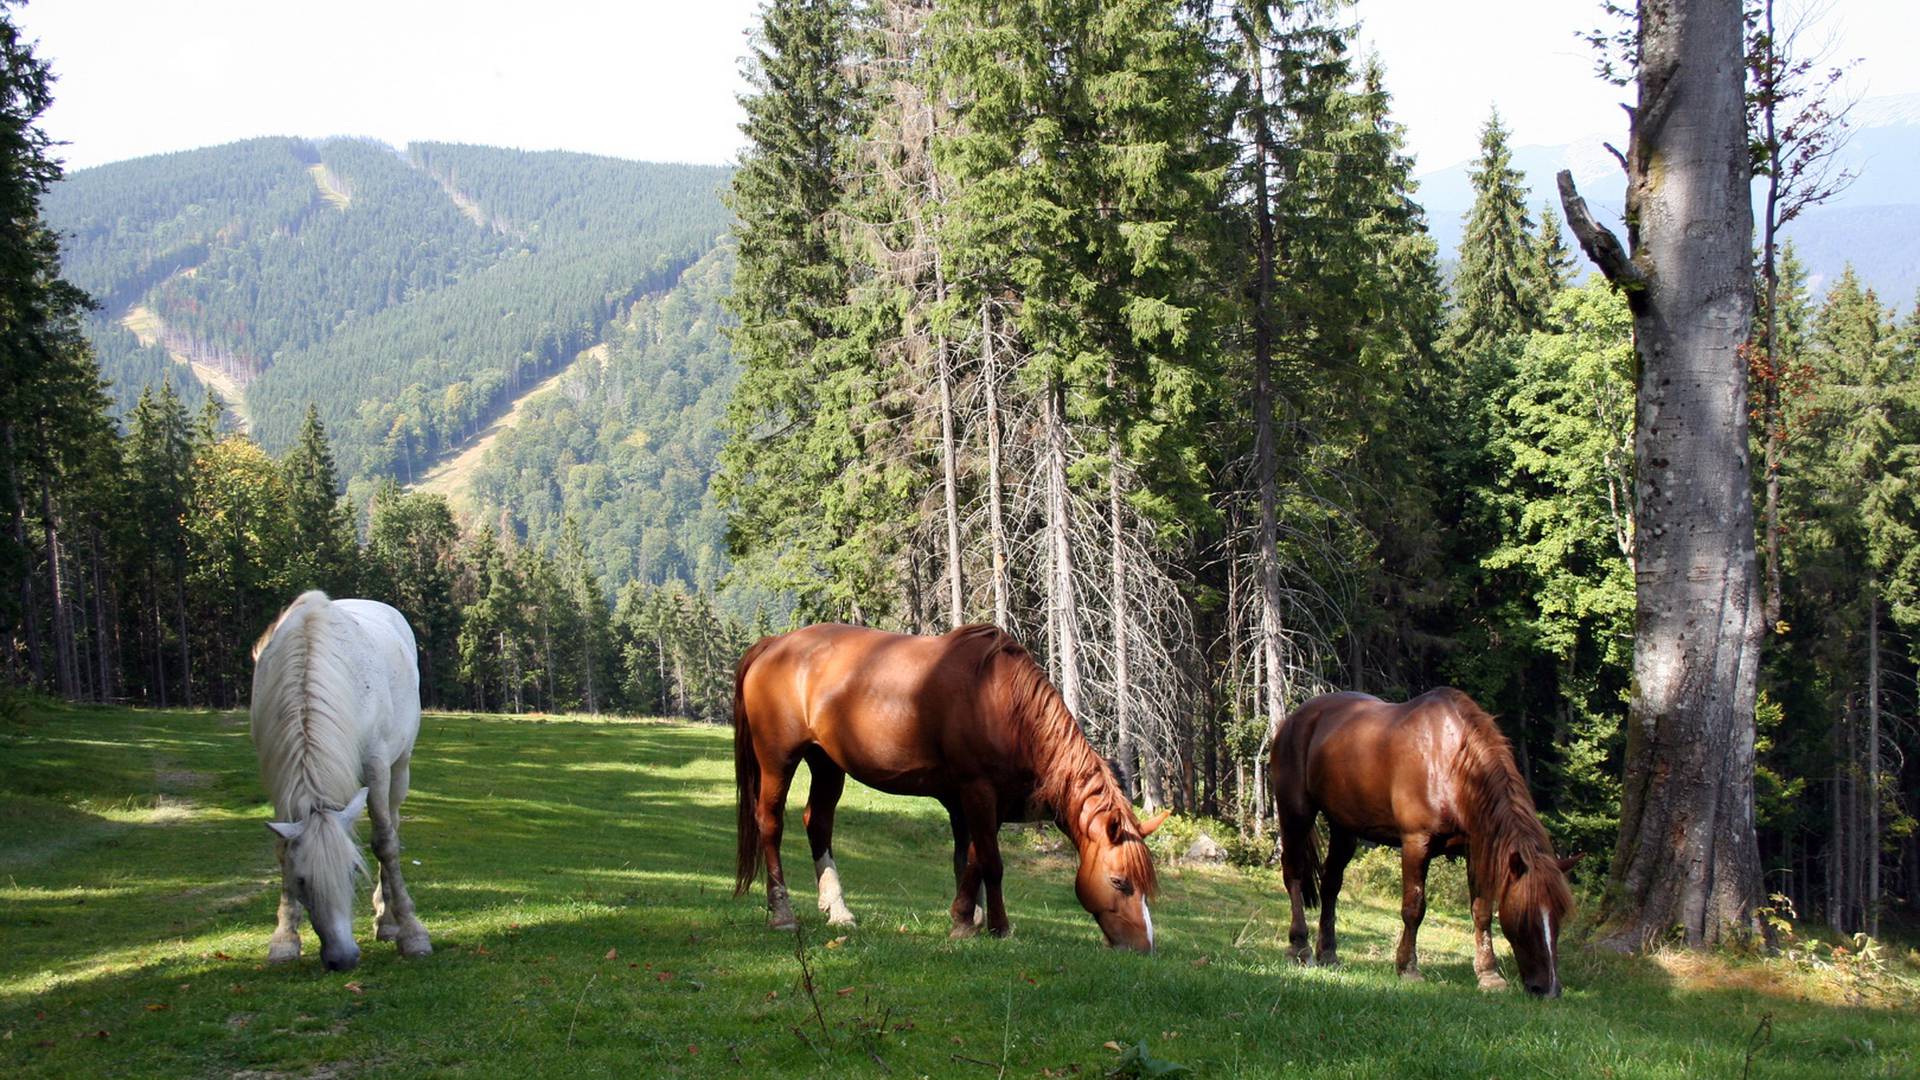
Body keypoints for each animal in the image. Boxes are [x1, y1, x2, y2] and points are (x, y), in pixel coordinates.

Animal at [251, 588, 432, 968]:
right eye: (301, 880)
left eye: (351, 872)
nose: (343, 958)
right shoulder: (275, 771)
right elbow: (281, 847)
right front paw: (284, 939)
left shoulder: (376, 764)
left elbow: (384, 843)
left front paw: (411, 932)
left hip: (399, 767)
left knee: (392, 826)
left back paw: (387, 920)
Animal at [725, 618, 1159, 945]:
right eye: (1120, 882)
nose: (1144, 947)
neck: (1004, 704)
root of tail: (774, 644)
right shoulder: (977, 791)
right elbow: (991, 863)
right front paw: (997, 927)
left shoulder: (979, 803)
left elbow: (970, 859)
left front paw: (967, 919)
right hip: (777, 759)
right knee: (771, 824)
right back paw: (781, 912)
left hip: (828, 763)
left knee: (818, 824)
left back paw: (838, 910)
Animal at [1274, 684, 1574, 999]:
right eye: (1525, 916)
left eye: (1560, 915)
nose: (1550, 989)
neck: (1449, 762)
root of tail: (1295, 719)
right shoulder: (1416, 844)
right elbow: (1414, 908)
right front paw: (1408, 968)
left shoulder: (1473, 849)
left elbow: (1481, 912)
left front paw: (1489, 975)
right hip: (1296, 814)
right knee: (1293, 874)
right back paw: (1300, 948)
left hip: (1343, 827)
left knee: (1330, 885)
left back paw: (1329, 954)